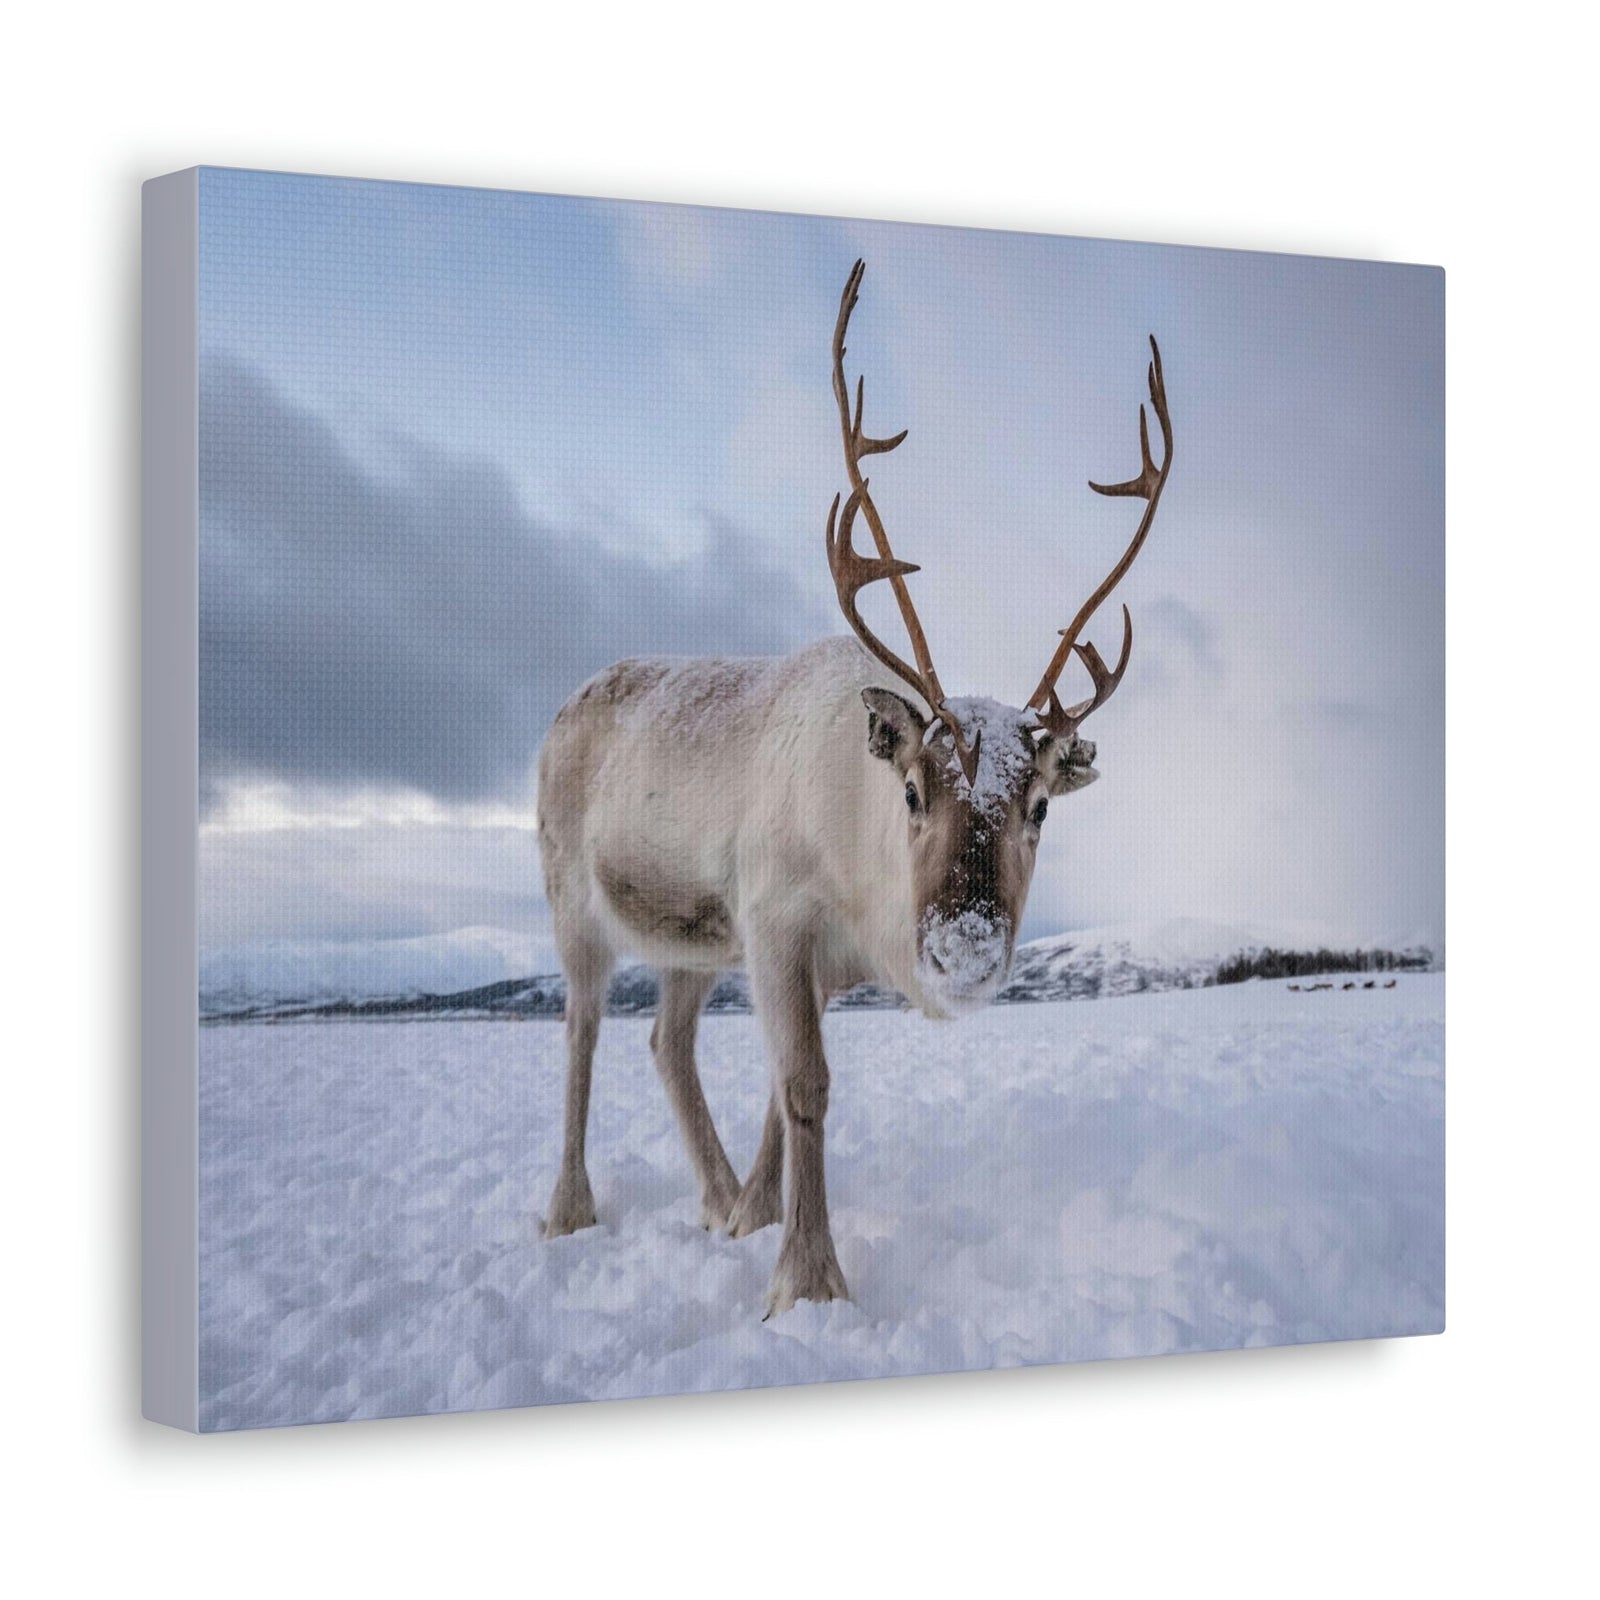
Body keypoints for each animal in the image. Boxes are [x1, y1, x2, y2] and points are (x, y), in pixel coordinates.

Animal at [536, 261, 1173, 1315]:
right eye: (913, 790)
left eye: (1040, 805)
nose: (964, 951)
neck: (859, 876)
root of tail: (566, 703)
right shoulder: (774, 917)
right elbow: (806, 1086)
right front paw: (807, 1280)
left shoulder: (800, 957)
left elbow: (776, 1092)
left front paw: (755, 1219)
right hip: (572, 902)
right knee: (581, 1031)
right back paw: (568, 1211)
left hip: (690, 941)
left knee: (666, 1042)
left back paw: (715, 1199)